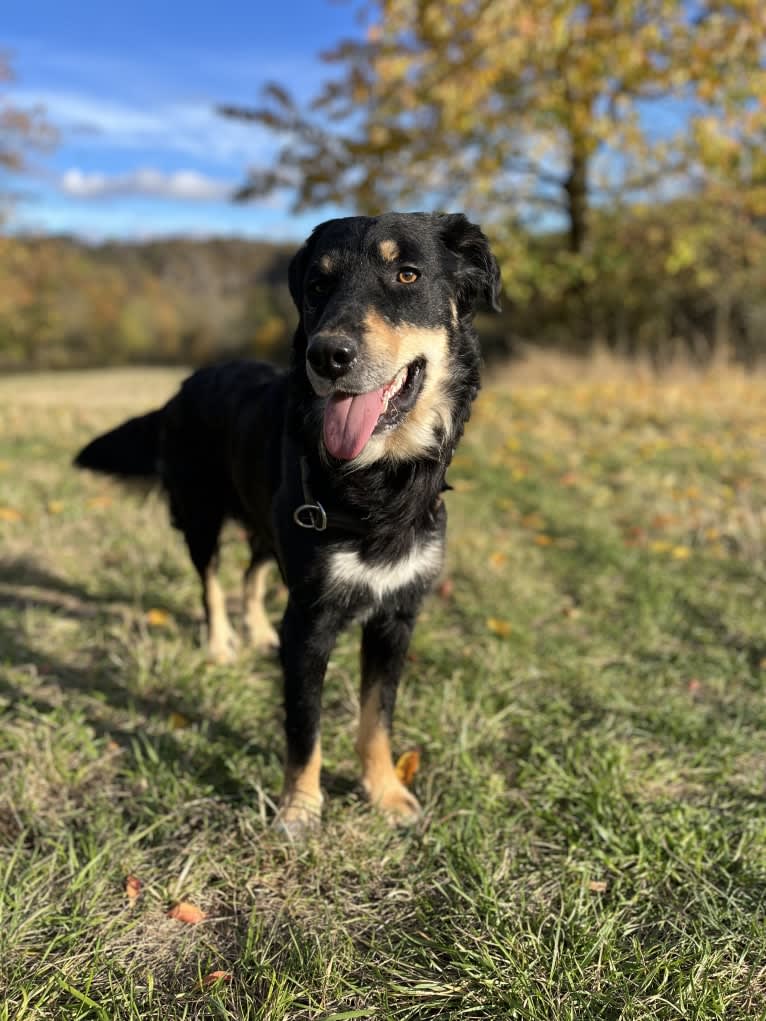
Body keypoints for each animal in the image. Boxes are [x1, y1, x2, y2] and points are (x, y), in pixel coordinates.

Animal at [75, 211, 500, 833]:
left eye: (407, 274)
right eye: (318, 285)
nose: (328, 356)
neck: (377, 483)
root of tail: (183, 386)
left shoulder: (396, 616)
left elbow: (378, 717)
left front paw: (384, 793)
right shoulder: (309, 622)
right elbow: (304, 726)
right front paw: (300, 807)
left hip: (265, 525)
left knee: (251, 575)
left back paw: (255, 631)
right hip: (202, 517)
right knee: (211, 583)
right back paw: (222, 644)